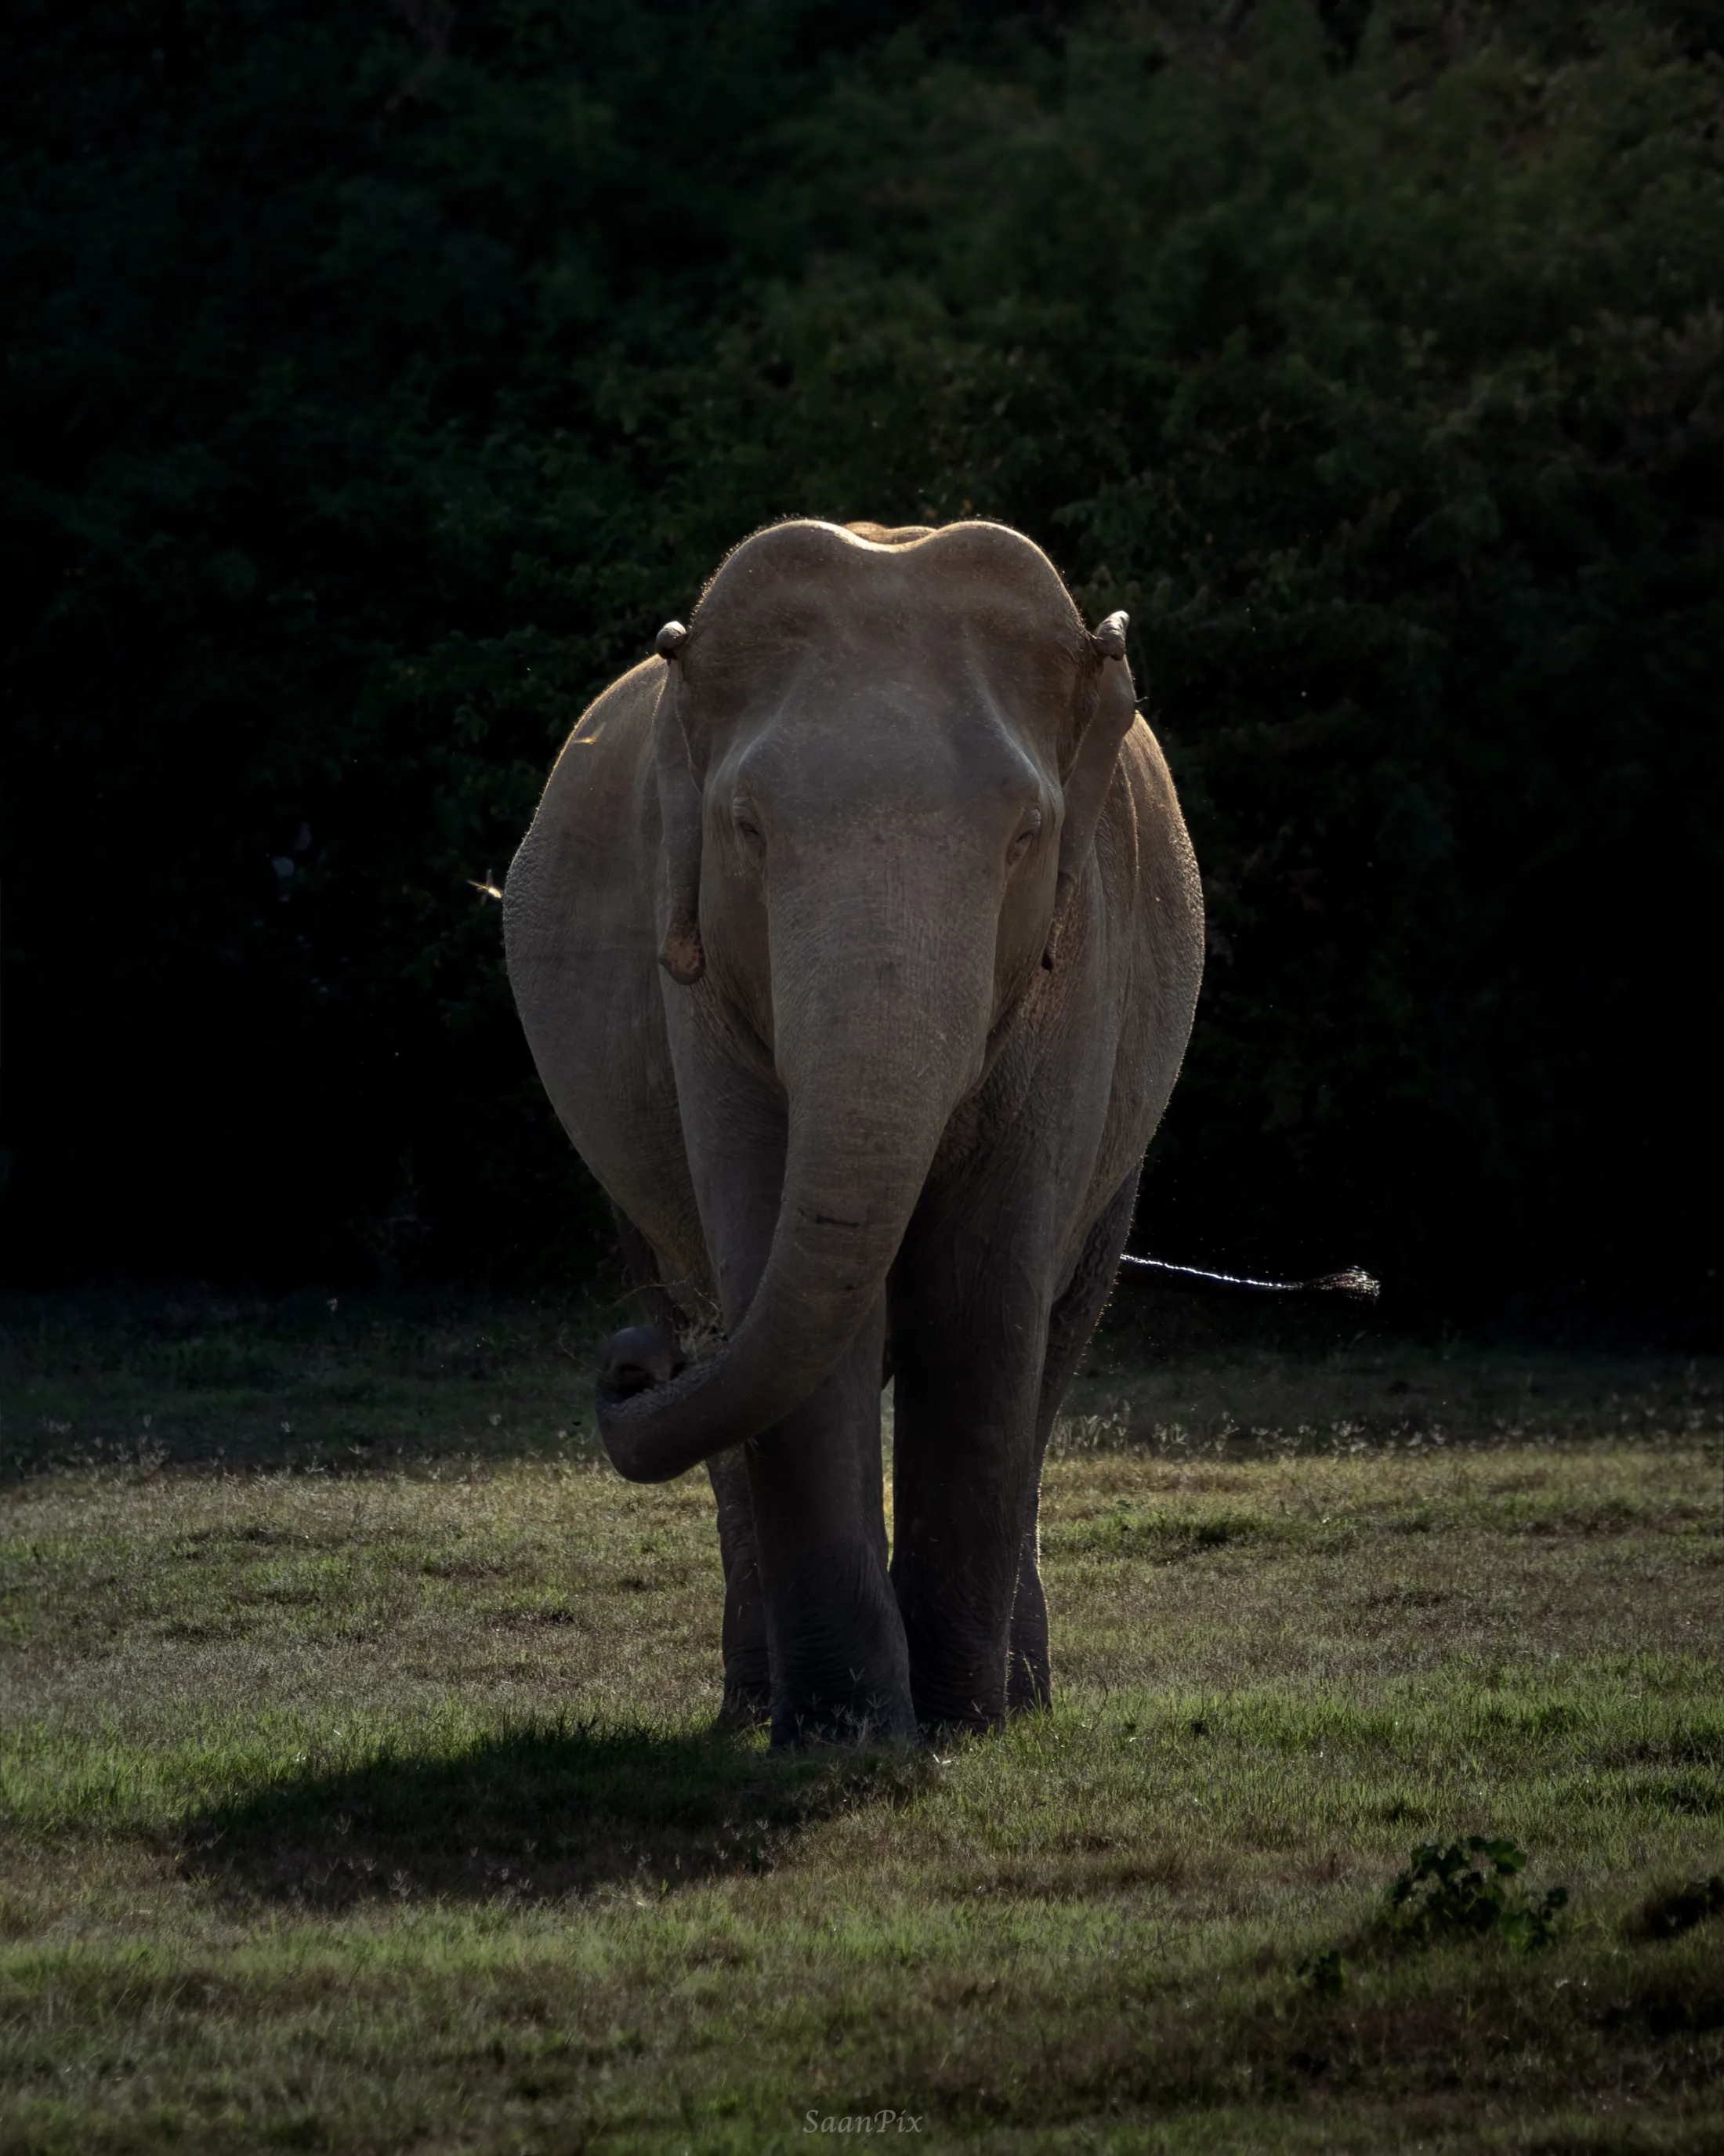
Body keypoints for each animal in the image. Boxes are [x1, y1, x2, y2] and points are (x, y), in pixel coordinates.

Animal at [503, 517, 1204, 1747]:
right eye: (746, 831)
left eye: (1025, 836)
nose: (629, 1366)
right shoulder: (697, 980)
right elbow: (778, 1285)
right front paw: (847, 1733)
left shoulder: (1081, 972)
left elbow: (981, 1302)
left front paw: (961, 1725)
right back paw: (754, 1706)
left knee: (1054, 1336)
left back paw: (1016, 1696)